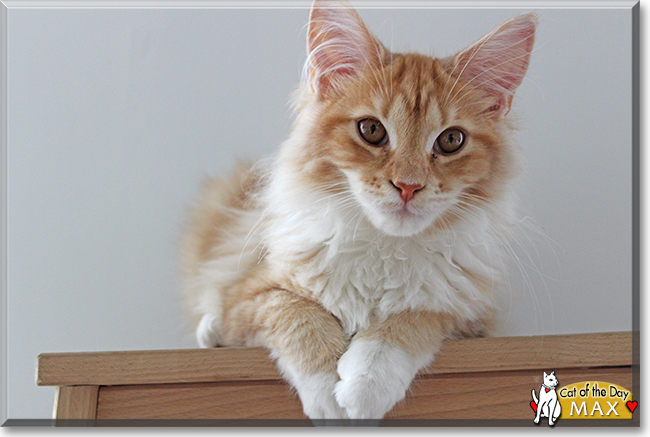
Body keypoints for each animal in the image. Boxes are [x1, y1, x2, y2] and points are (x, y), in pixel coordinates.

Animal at [180, 0, 536, 418]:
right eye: (371, 130)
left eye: (451, 140)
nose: (408, 186)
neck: (382, 249)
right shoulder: (252, 293)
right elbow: (297, 312)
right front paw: (326, 392)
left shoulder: (467, 310)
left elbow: (410, 318)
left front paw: (368, 382)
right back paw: (211, 329)